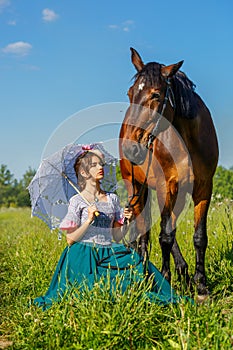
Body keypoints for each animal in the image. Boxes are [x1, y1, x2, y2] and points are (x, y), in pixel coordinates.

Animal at [119, 47, 219, 298]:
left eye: (156, 95)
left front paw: (201, 285)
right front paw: (164, 279)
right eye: (130, 93)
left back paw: (183, 271)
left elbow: (198, 236)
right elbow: (163, 236)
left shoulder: (204, 187)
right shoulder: (167, 186)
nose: (130, 148)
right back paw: (146, 274)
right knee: (144, 232)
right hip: (136, 186)